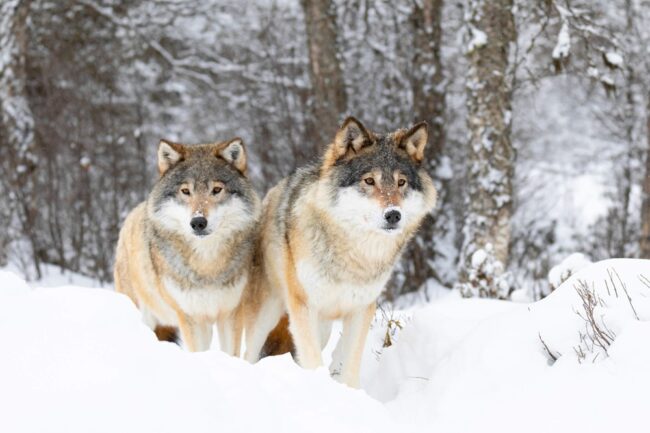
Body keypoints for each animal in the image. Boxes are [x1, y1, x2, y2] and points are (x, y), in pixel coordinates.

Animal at [114, 137, 260, 354]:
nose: (198, 222)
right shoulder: (191, 317)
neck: (207, 264)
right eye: (185, 191)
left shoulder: (230, 313)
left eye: (216, 190)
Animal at [242, 117, 437, 387]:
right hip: (266, 316)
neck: (353, 255)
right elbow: (313, 361)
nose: (394, 215)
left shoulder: (361, 310)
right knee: (248, 354)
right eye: (369, 181)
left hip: (322, 328)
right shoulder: (303, 307)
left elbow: (350, 366)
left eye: (401, 182)